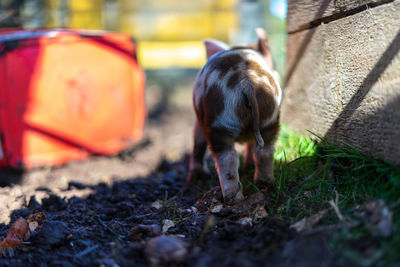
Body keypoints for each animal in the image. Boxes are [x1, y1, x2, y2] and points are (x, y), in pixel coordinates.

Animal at [187, 28, 282, 203]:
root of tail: (247, 81)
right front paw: (248, 166)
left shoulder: (200, 121)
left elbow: (198, 143)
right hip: (270, 117)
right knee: (264, 150)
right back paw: (265, 184)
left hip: (218, 122)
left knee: (228, 157)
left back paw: (232, 200)